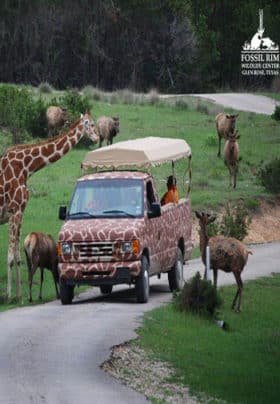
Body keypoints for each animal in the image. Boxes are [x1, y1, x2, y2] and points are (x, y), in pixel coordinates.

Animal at [0, 110, 99, 300]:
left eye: (95, 123)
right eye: (90, 124)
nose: (97, 137)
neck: (26, 168)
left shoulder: (19, 212)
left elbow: (18, 257)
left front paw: (19, 296)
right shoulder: (14, 211)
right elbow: (10, 257)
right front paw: (9, 296)